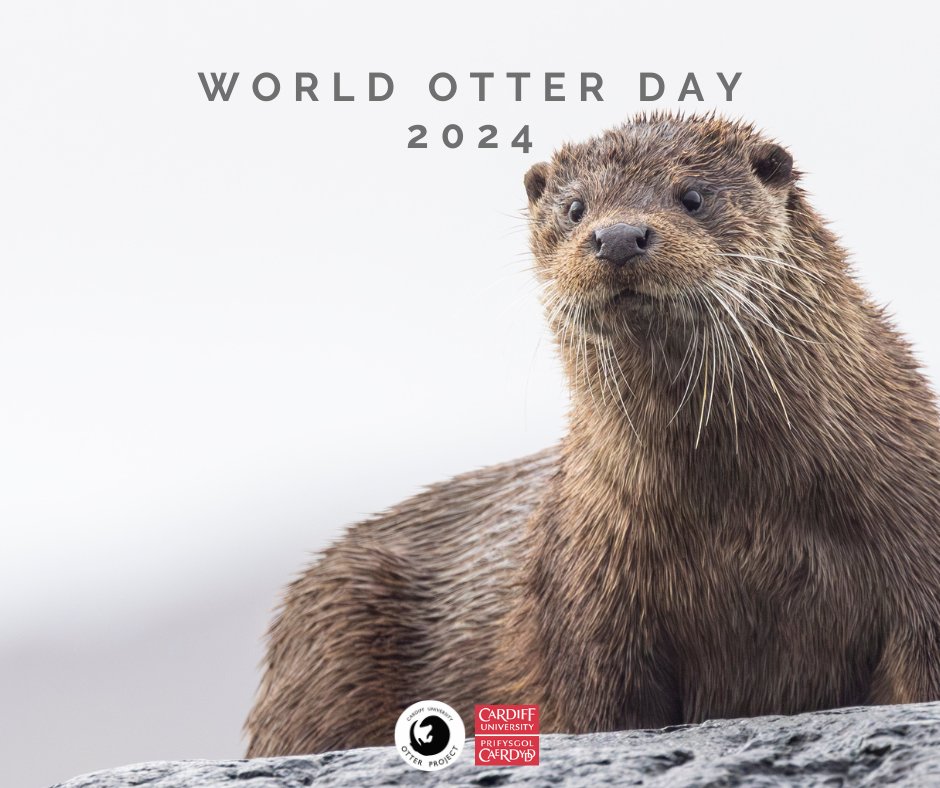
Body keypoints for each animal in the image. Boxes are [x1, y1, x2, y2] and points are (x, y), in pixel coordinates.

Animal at [245, 113, 940, 757]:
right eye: (576, 207)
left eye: (693, 196)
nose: (618, 236)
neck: (744, 524)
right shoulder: (586, 604)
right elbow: (594, 706)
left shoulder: (920, 553)